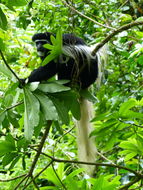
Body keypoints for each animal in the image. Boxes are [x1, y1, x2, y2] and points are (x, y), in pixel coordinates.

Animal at [22, 31, 105, 176]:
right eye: (37, 42)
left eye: (42, 42)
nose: (38, 47)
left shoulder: (55, 50)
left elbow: (49, 67)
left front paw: (24, 80)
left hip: (85, 69)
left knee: (66, 62)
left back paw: (67, 83)